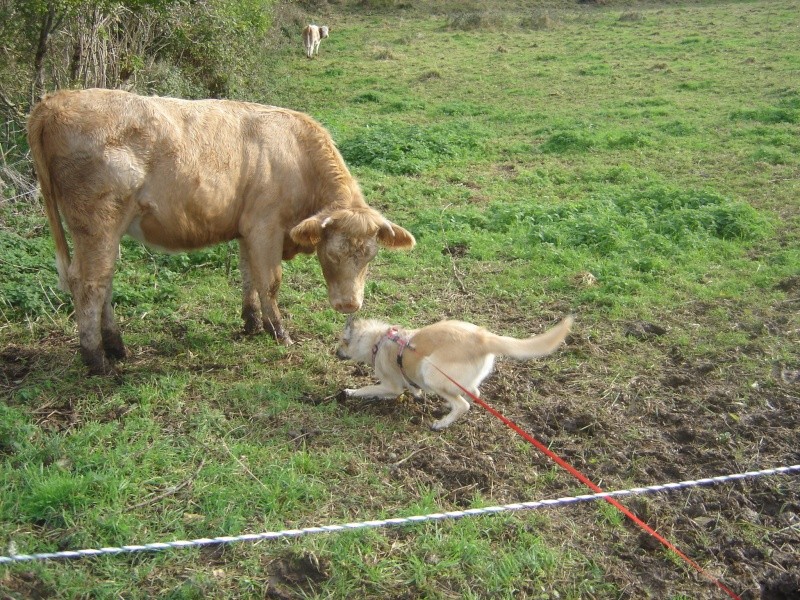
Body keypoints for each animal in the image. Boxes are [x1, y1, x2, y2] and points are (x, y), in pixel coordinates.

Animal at [28, 88, 416, 372]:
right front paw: (280, 333)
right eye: (331, 254)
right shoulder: (265, 226)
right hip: (97, 223)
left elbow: (249, 276)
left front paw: (252, 323)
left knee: (103, 280)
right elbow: (269, 281)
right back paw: (97, 360)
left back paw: (116, 347)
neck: (298, 154)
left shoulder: (247, 229)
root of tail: (57, 99)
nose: (349, 304)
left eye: (369, 256)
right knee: (89, 284)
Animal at [334, 316, 572, 428]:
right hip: (459, 379)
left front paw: (349, 392)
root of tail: (483, 338)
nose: (335, 352)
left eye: (342, 342)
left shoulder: (391, 386)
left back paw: (442, 423)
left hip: (431, 371)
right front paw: (416, 393)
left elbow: (368, 389)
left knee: (463, 404)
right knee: (473, 395)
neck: (377, 340)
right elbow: (412, 387)